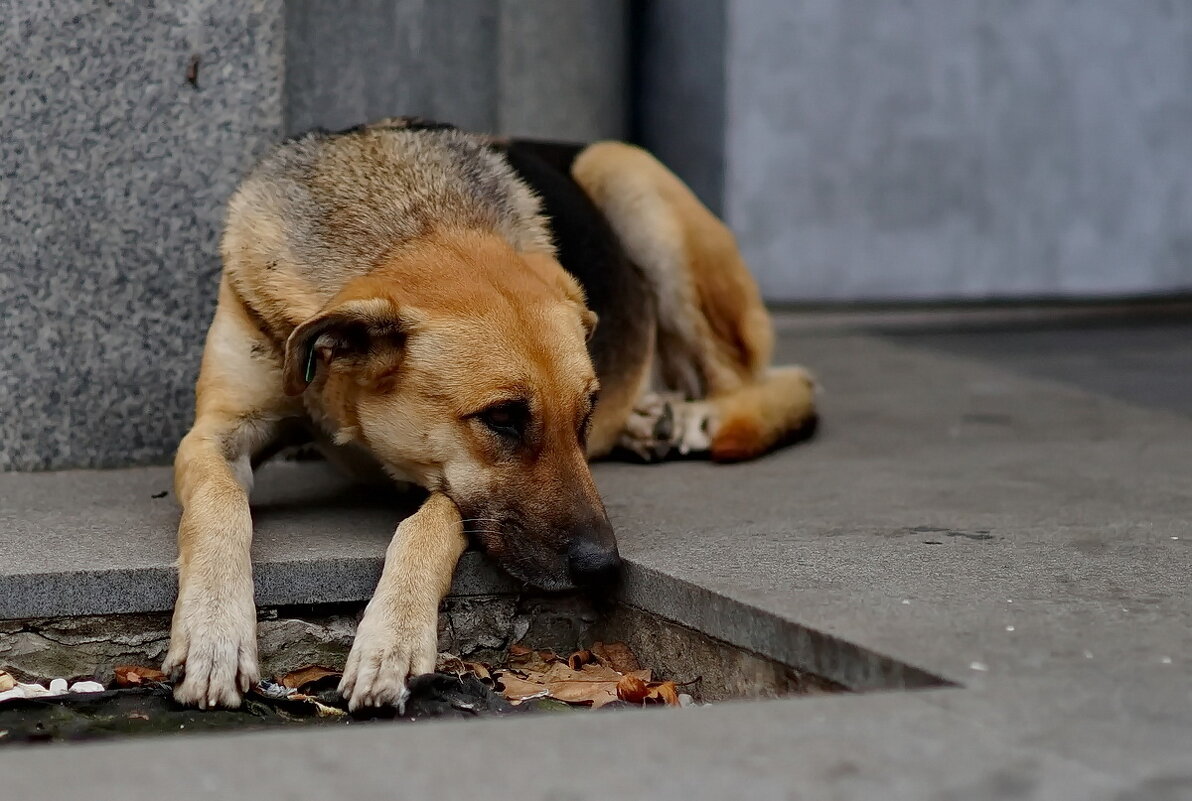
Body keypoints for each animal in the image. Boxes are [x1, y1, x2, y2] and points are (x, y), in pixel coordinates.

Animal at [165, 119, 820, 705]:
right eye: (502, 418)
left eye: (585, 412)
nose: (604, 567)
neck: (411, 218)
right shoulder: (213, 433)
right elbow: (218, 505)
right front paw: (214, 633)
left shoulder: (447, 487)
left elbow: (431, 521)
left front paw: (393, 638)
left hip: (628, 176)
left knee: (761, 382)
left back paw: (690, 417)